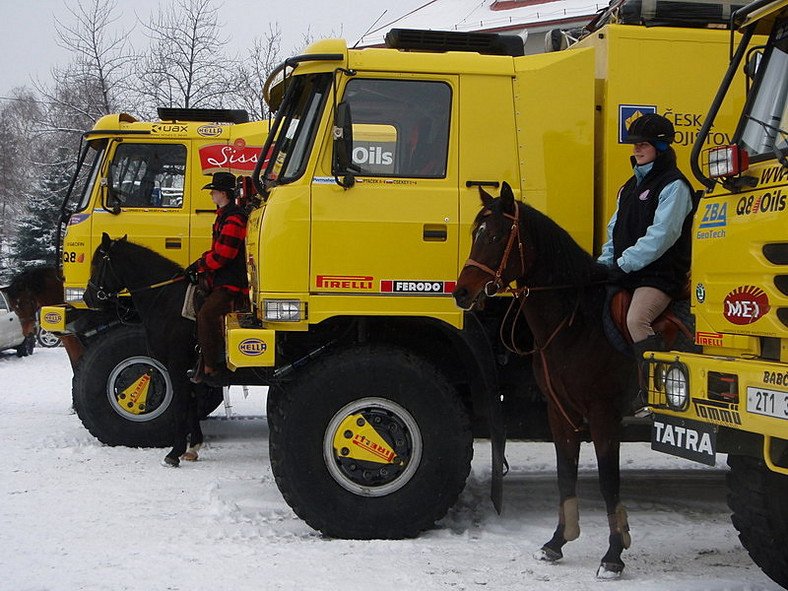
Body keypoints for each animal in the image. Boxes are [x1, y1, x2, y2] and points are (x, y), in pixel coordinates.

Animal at [85, 234, 206, 470]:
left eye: (97, 263)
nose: (88, 297)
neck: (167, 300)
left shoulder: (176, 363)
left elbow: (180, 405)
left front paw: (175, 452)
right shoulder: (187, 365)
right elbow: (191, 402)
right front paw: (193, 446)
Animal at [452, 183, 636, 580]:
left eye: (495, 236)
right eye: (475, 234)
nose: (461, 292)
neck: (576, 324)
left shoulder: (605, 412)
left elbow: (608, 479)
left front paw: (613, 554)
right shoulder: (560, 409)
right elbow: (565, 473)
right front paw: (557, 542)